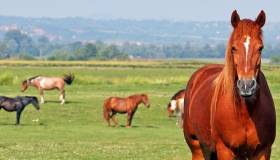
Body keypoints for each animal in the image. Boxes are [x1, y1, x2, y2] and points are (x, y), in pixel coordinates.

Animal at [182, 10, 276, 159]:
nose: (246, 85)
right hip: (197, 148)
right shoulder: (225, 150)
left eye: (260, 48)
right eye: (233, 48)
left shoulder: (263, 151)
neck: (245, 112)